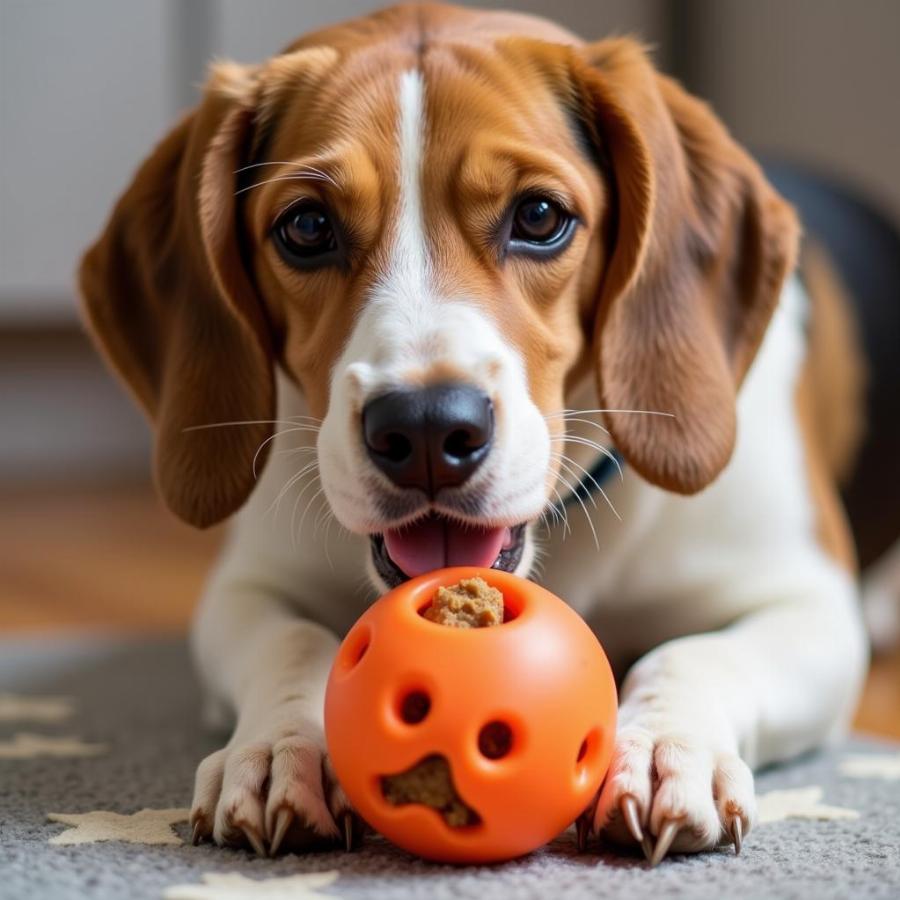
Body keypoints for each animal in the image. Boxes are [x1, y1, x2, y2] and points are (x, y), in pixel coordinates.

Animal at [81, 3, 868, 864]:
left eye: (540, 216)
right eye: (308, 227)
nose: (425, 429)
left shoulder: (813, 605)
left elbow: (694, 651)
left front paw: (664, 747)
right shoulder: (246, 587)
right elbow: (290, 644)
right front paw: (280, 750)